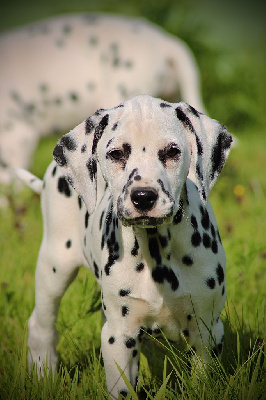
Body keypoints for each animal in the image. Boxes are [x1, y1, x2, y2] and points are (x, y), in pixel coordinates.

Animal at [17, 94, 233, 396]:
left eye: (172, 152)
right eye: (117, 154)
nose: (143, 196)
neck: (156, 250)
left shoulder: (207, 331)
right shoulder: (119, 337)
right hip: (54, 267)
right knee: (41, 325)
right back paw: (43, 376)